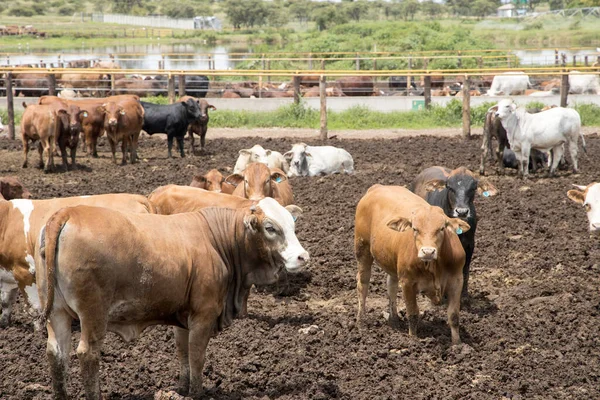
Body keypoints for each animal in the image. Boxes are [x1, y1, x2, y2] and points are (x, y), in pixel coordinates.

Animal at [0, 194, 155, 328]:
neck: (7, 220)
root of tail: (136, 198)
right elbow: (6, 302)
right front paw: (4, 323)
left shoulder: (24, 271)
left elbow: (34, 307)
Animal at [36, 198, 310, 398]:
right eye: (270, 228)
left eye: (293, 225)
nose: (303, 256)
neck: (217, 240)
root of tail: (69, 212)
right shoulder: (204, 313)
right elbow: (197, 355)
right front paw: (197, 393)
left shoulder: (184, 316)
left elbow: (183, 352)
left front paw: (182, 389)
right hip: (93, 314)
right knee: (87, 354)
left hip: (57, 313)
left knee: (56, 353)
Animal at [410, 166, 500, 296]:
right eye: (450, 187)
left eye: (473, 188)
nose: (462, 212)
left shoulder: (469, 245)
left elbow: (464, 271)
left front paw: (464, 295)